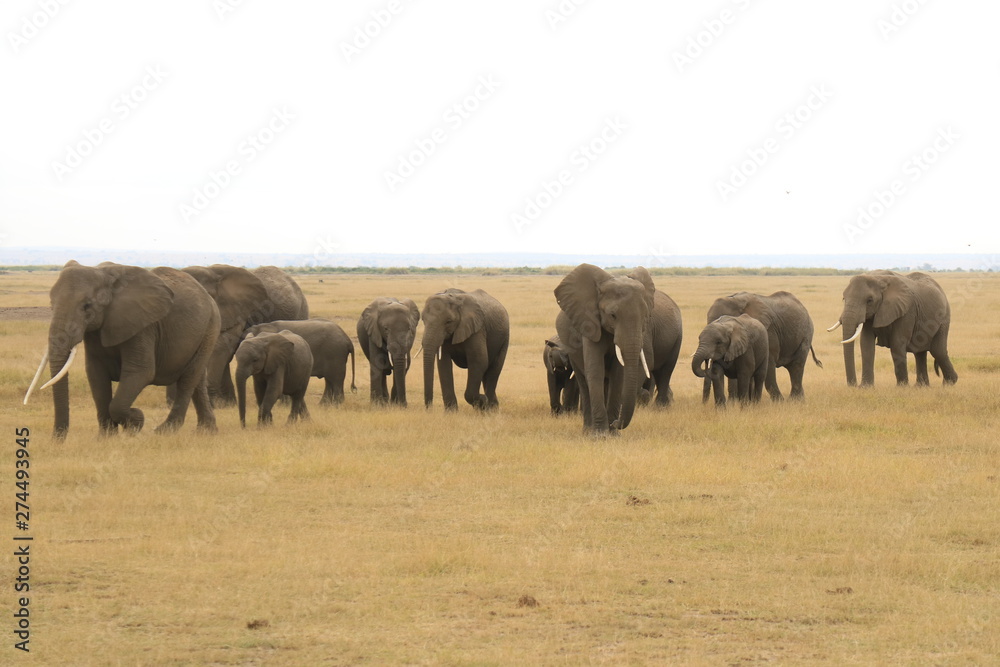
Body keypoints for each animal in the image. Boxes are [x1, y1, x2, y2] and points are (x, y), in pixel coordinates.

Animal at [25, 260, 220, 438]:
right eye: (51, 304)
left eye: (87, 306)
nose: (56, 440)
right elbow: (96, 374)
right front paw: (106, 438)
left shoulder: (142, 326)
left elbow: (140, 372)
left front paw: (136, 422)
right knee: (197, 380)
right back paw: (207, 432)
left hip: (210, 327)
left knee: (188, 380)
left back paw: (164, 431)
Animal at [554, 264, 654, 433]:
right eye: (613, 315)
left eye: (645, 316)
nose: (616, 423)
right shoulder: (589, 324)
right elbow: (595, 371)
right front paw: (600, 434)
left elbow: (618, 375)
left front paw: (613, 434)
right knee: (584, 382)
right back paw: (588, 431)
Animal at [828, 270, 957, 387]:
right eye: (844, 299)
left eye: (869, 301)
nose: (853, 385)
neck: (878, 278)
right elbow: (866, 344)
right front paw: (866, 387)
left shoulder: (907, 310)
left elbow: (897, 342)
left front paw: (902, 387)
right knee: (920, 353)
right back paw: (921, 386)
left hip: (944, 319)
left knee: (938, 351)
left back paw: (949, 384)